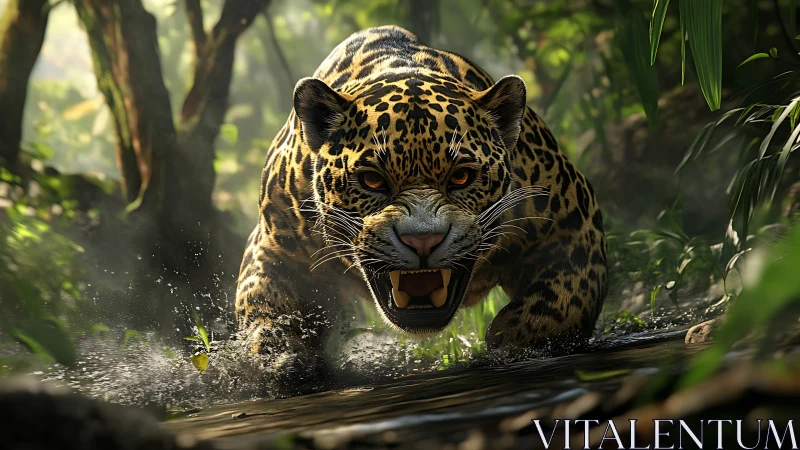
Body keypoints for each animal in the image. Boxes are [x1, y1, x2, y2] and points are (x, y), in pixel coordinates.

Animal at [235, 25, 607, 386]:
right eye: (372, 180)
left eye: (461, 177)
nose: (423, 240)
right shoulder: (273, 249)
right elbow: (265, 308)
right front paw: (282, 358)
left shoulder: (574, 223)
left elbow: (564, 298)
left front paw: (516, 340)